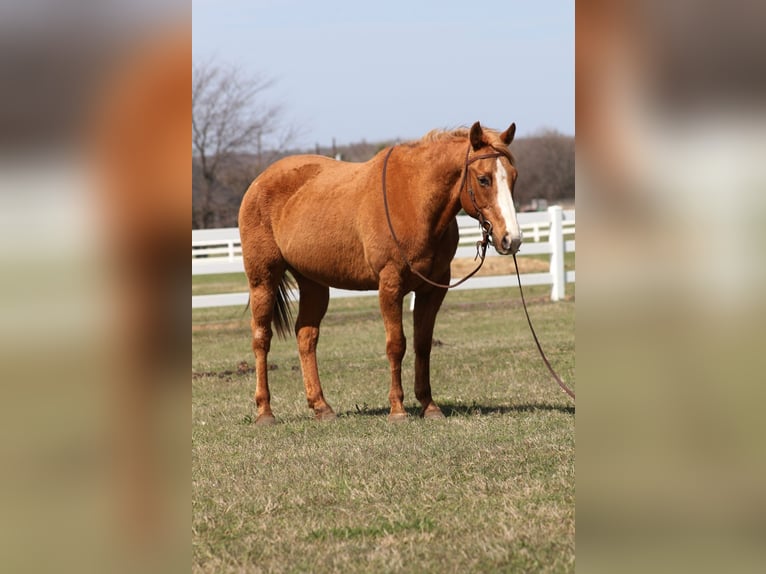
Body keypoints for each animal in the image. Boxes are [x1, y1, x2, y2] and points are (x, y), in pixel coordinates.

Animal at [238, 121, 522, 424]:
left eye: (513, 177)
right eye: (483, 179)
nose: (511, 239)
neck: (414, 200)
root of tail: (259, 182)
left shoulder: (433, 288)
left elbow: (423, 344)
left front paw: (429, 405)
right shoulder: (390, 284)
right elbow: (396, 345)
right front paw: (397, 409)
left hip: (313, 283)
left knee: (306, 337)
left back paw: (321, 407)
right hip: (263, 279)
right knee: (261, 339)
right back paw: (265, 411)